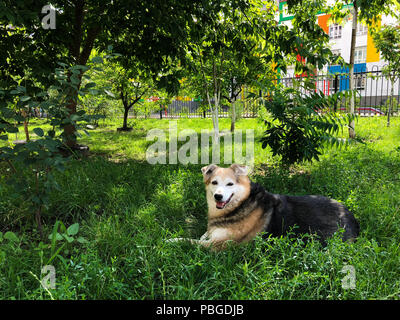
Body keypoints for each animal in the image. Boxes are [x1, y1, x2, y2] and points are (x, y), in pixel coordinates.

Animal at [168, 164, 360, 251]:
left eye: (230, 184)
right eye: (214, 182)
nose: (218, 196)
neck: (242, 203)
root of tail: (352, 218)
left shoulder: (218, 245)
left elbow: (189, 240)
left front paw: (171, 240)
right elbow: (203, 233)